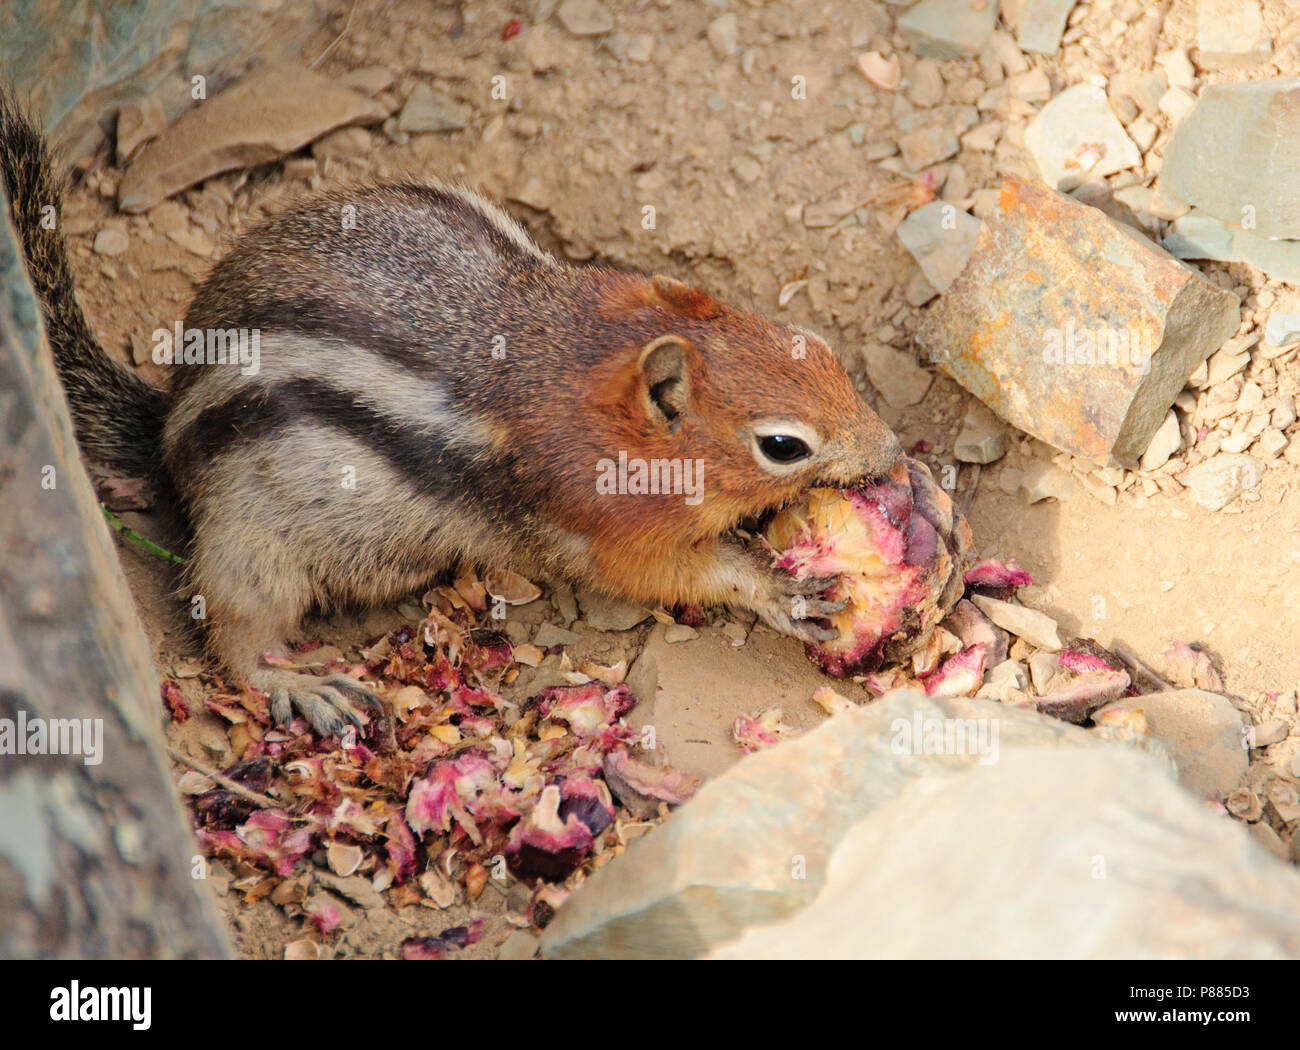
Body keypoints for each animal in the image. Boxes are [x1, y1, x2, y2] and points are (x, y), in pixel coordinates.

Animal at [0, 100, 899, 738]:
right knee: (233, 628)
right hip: (251, 537)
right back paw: (299, 683)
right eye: (782, 446)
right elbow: (682, 573)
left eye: (817, 346)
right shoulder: (600, 527)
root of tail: (165, 428)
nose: (893, 451)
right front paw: (779, 589)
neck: (587, 357)